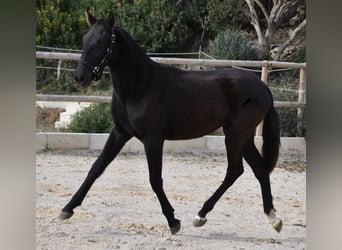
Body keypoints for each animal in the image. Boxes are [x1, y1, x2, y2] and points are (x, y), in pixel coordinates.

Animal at [59, 10, 284, 234]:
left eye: (103, 40)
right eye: (85, 39)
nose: (80, 77)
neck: (140, 86)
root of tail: (263, 87)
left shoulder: (153, 139)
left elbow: (155, 180)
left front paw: (173, 221)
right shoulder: (120, 133)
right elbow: (96, 168)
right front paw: (67, 209)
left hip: (236, 135)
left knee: (234, 171)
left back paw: (200, 215)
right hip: (243, 137)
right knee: (258, 170)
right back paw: (272, 218)